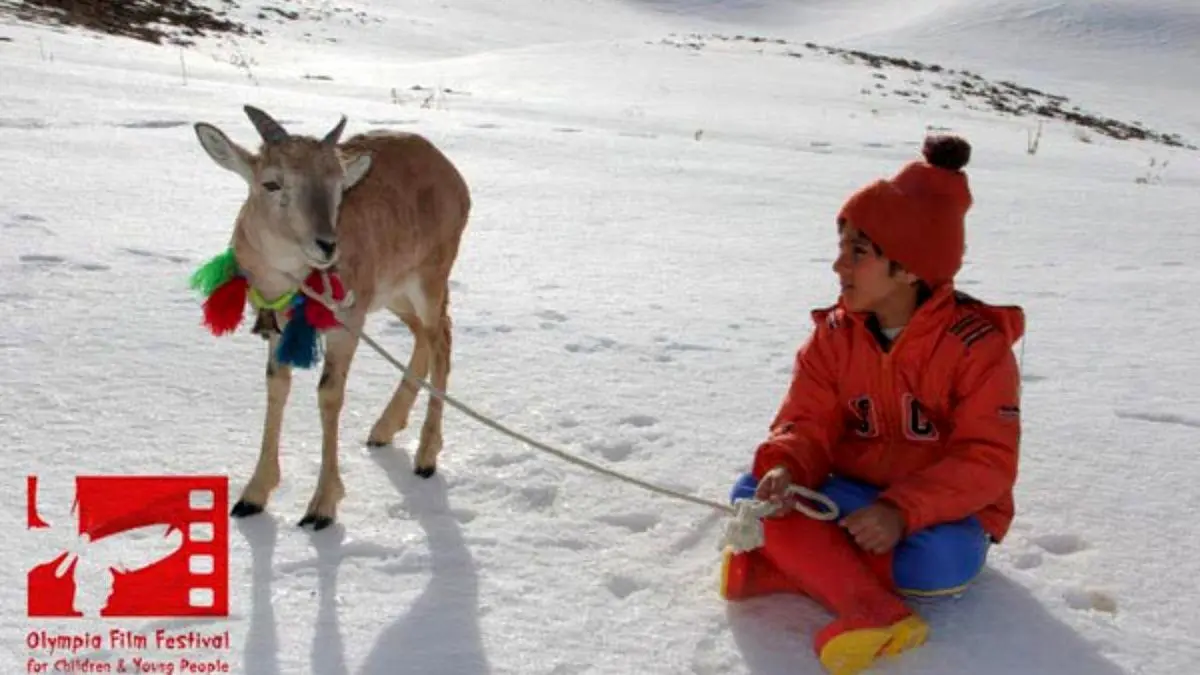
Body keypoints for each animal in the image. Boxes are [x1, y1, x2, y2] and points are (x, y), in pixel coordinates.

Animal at [192, 103, 468, 526]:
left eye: (339, 187)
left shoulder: (346, 324)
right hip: (393, 292)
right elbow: (277, 386)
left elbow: (329, 394)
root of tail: (454, 177)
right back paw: (384, 429)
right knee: (426, 334)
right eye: (271, 183)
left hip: (429, 278)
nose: (326, 245)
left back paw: (425, 457)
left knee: (442, 339)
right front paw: (253, 496)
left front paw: (321, 507)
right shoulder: (277, 327)